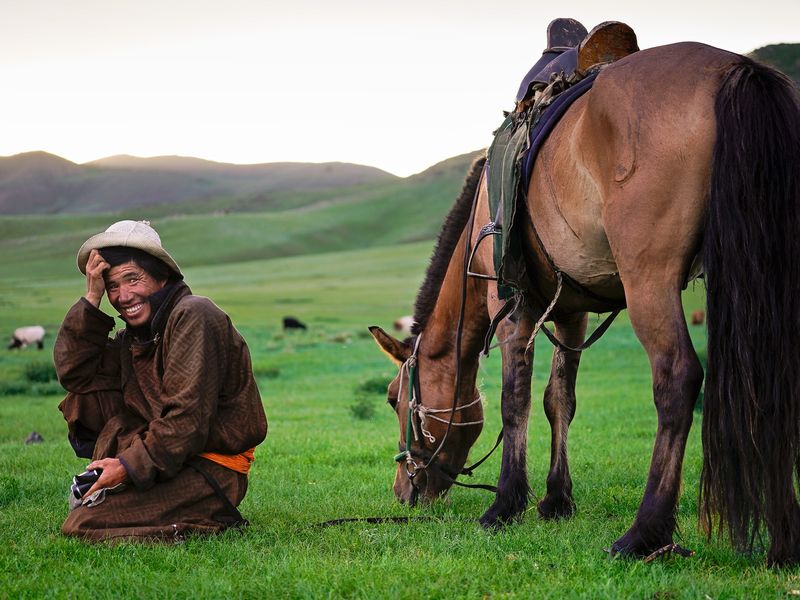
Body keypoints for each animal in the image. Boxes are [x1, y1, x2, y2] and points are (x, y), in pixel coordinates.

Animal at [372, 41, 800, 564]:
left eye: (393, 398)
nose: (403, 491)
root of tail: (736, 70)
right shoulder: (571, 311)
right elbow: (559, 400)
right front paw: (556, 499)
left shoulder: (512, 306)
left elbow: (515, 401)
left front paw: (505, 504)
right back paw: (784, 541)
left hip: (649, 278)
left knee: (677, 378)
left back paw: (644, 533)